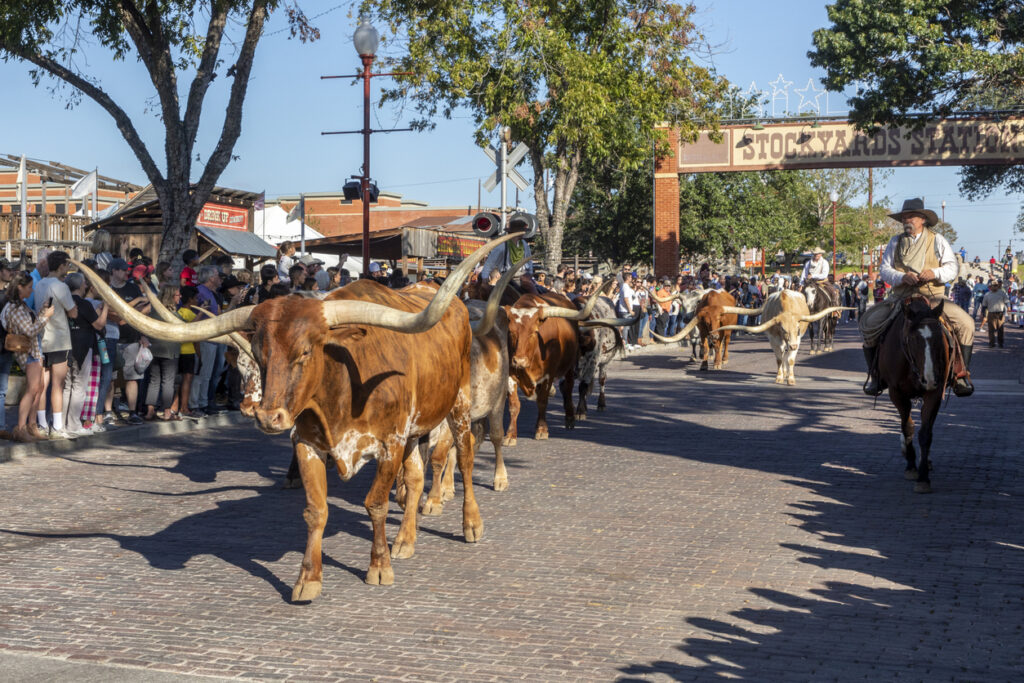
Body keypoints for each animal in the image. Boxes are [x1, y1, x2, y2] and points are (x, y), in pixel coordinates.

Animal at [876, 296, 954, 493]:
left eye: (939, 337)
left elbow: (925, 433)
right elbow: (908, 427)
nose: (929, 378)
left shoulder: (935, 392)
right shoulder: (896, 393)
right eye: (912, 339)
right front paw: (911, 466)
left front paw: (923, 477)